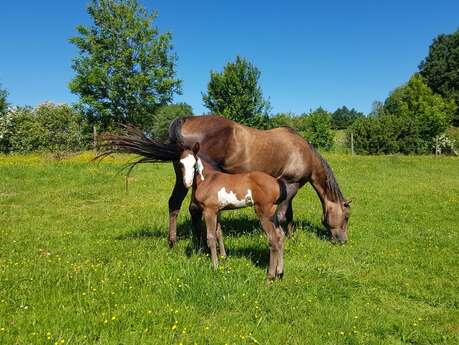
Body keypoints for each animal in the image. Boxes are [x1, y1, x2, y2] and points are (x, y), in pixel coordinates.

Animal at [100, 116, 352, 247]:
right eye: (347, 217)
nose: (343, 240)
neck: (302, 151)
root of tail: (186, 121)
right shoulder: (291, 184)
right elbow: (281, 214)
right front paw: (285, 236)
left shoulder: (284, 185)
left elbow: (287, 213)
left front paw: (290, 233)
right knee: (192, 208)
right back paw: (200, 242)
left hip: (183, 177)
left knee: (174, 204)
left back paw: (175, 242)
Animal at [180, 142, 288, 280]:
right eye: (181, 163)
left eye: (194, 164)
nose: (187, 183)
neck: (208, 179)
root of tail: (276, 182)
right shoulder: (218, 211)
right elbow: (219, 233)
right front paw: (223, 257)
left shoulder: (209, 211)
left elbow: (211, 237)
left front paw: (215, 266)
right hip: (273, 215)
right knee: (280, 235)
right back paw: (279, 272)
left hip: (264, 214)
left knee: (273, 240)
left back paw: (270, 276)